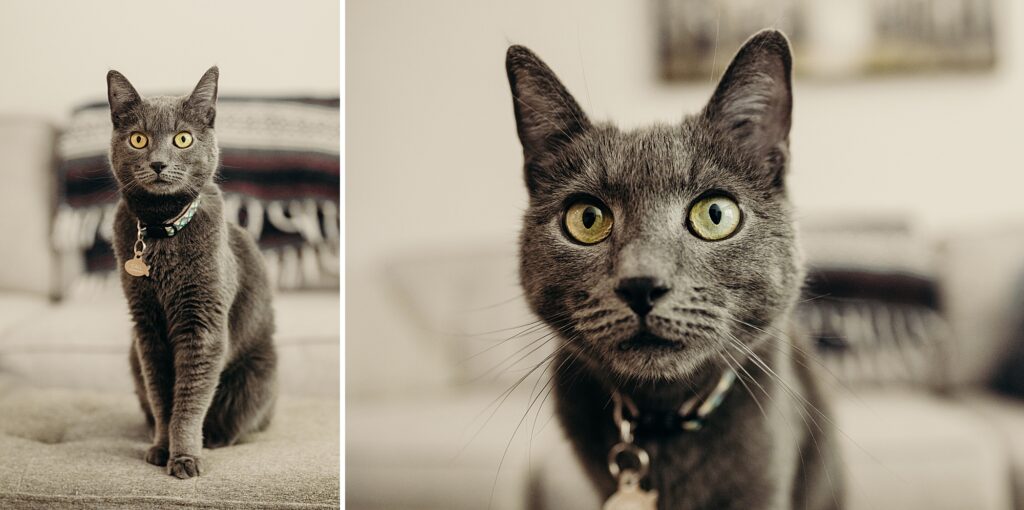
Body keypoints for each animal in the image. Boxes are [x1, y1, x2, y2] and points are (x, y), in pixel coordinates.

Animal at [105, 66, 278, 477]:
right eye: (138, 139)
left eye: (182, 139)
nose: (158, 163)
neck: (159, 229)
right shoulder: (146, 328)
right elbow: (162, 396)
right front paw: (161, 448)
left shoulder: (202, 323)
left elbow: (188, 398)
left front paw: (184, 458)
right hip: (132, 356)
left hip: (256, 375)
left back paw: (213, 438)